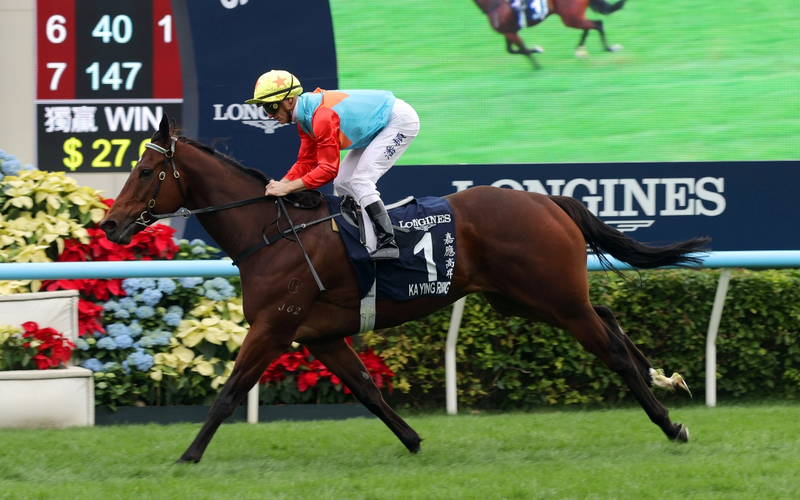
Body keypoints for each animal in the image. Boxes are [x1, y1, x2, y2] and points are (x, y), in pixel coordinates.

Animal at [100, 114, 708, 463]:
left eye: (146, 173)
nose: (110, 224)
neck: (271, 233)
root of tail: (545, 199)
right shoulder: (319, 335)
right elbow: (368, 392)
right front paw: (413, 441)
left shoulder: (275, 325)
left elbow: (228, 392)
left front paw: (187, 456)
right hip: (526, 299)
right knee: (606, 314)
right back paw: (664, 378)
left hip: (551, 297)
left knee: (609, 349)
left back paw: (671, 424)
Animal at [472, 0, 627, 68]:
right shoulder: (509, 31)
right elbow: (512, 50)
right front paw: (537, 50)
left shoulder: (510, 32)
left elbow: (521, 49)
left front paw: (537, 65)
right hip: (573, 17)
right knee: (592, 26)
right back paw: (581, 51)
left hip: (570, 18)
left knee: (598, 24)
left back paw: (610, 48)